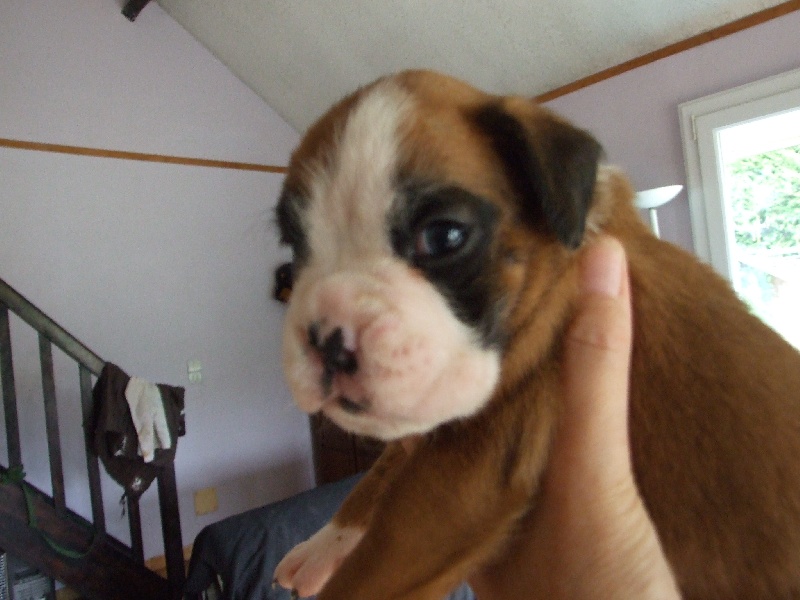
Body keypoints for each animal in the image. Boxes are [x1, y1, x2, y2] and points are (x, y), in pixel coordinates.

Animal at [272, 70, 800, 599]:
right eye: (296, 248)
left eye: (443, 236)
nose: (325, 338)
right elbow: (381, 469)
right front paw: (327, 541)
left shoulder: (460, 480)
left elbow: (368, 569)